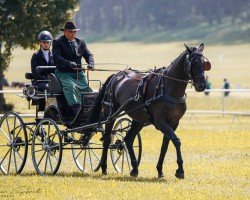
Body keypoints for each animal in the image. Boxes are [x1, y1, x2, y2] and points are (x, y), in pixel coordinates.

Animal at [88, 43, 211, 178]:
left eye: (204, 63)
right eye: (192, 63)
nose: (202, 86)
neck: (168, 88)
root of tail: (116, 75)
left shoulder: (174, 123)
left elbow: (165, 145)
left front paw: (160, 170)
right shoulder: (161, 122)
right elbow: (176, 141)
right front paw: (180, 170)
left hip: (139, 119)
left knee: (129, 139)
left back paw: (134, 168)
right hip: (110, 113)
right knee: (106, 139)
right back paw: (104, 168)